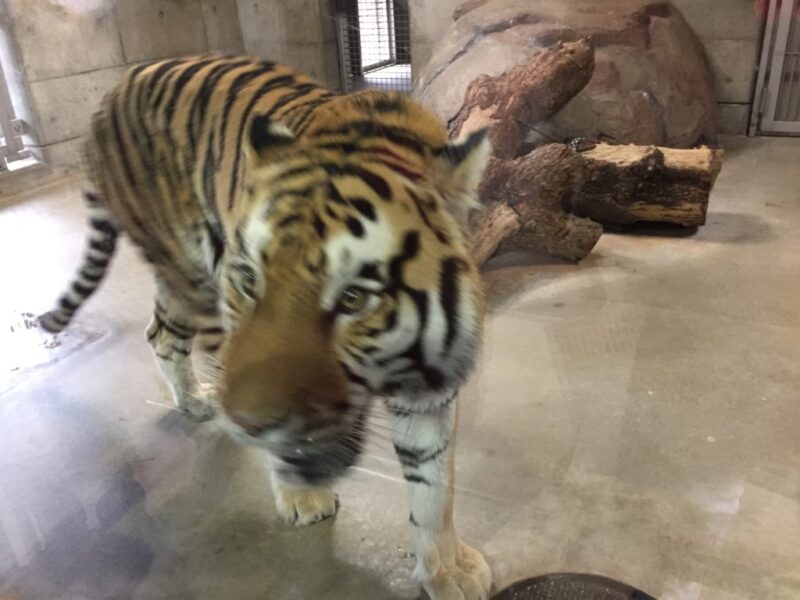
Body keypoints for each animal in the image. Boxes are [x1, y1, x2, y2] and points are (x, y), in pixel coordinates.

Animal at [40, 55, 490, 600]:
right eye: (251, 279)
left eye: (353, 297)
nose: (248, 420)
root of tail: (114, 90)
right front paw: (302, 494)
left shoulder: (431, 384)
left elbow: (434, 486)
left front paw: (446, 570)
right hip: (189, 272)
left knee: (160, 333)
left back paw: (195, 402)